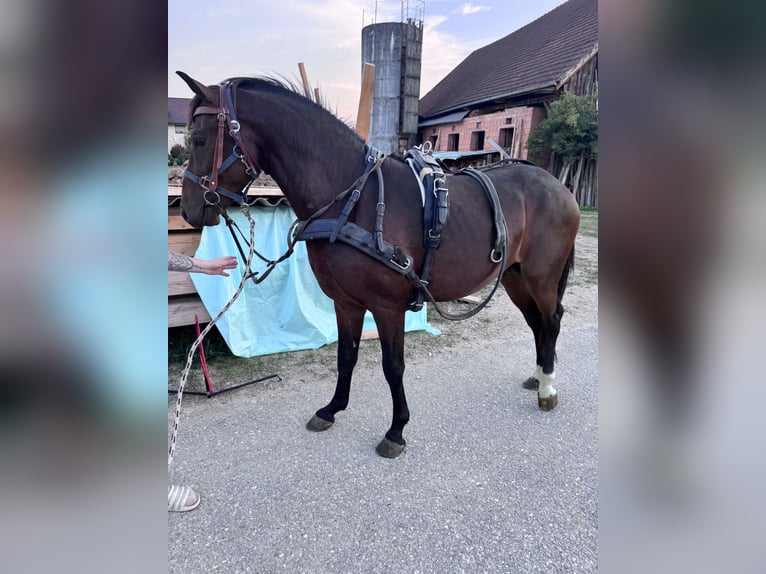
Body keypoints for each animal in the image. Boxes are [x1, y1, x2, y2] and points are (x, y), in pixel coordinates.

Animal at [176, 71, 580, 458]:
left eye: (199, 140)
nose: (189, 209)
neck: (354, 200)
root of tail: (558, 186)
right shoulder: (346, 303)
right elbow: (346, 357)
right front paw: (331, 410)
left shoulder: (388, 307)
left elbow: (393, 366)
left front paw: (396, 430)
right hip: (514, 277)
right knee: (536, 323)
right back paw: (539, 374)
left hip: (542, 277)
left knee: (552, 320)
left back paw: (547, 388)